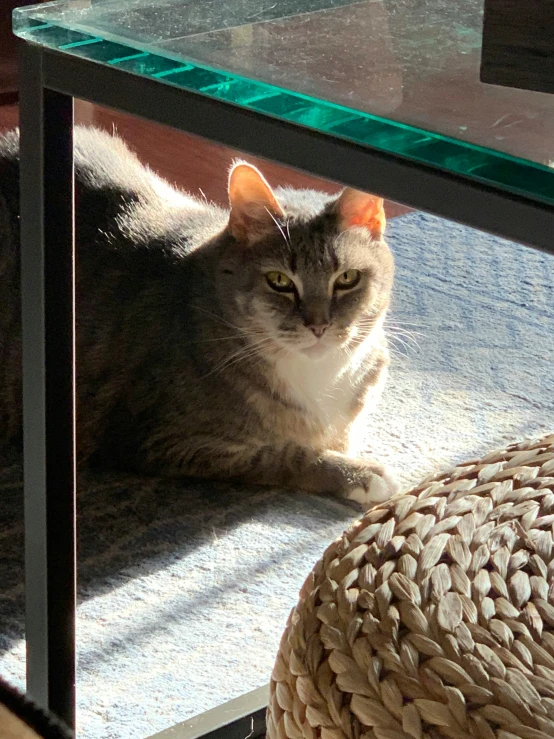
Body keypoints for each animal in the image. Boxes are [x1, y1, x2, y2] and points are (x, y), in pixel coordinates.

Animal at [1, 127, 396, 508]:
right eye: (280, 281)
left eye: (347, 279)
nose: (318, 325)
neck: (319, 375)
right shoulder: (162, 439)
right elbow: (284, 455)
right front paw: (358, 475)